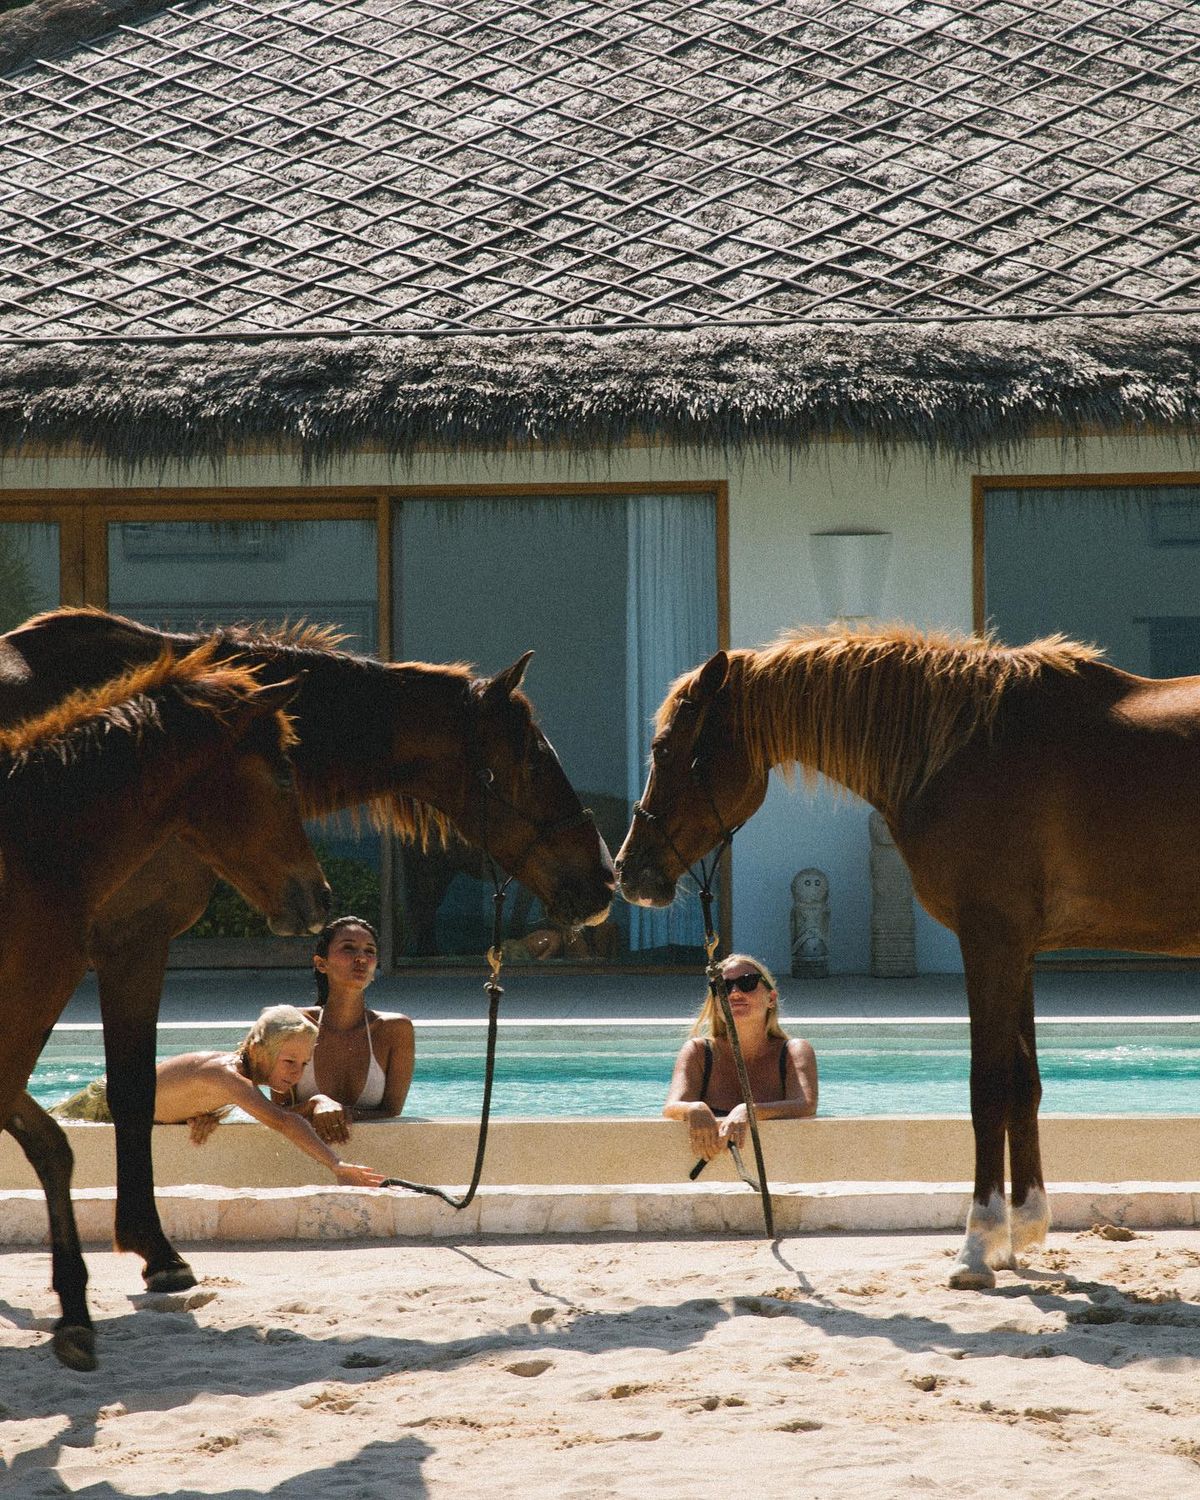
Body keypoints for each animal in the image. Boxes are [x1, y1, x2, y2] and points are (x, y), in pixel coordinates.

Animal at [613, 622, 1200, 1289]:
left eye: (664, 749)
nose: (628, 870)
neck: (964, 750)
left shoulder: (990, 941)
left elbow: (988, 1089)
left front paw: (977, 1247)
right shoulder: (1018, 951)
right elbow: (1023, 1084)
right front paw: (1021, 1232)